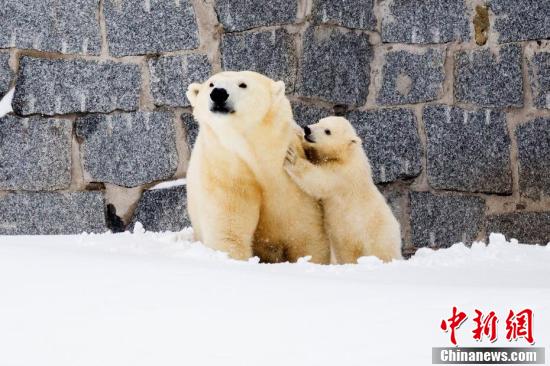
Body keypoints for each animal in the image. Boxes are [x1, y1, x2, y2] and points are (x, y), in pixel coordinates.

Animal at [185, 71, 332, 264]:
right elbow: (228, 231)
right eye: (211, 84)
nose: (218, 93)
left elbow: (305, 233)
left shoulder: (287, 182)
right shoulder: (225, 169)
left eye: (243, 84)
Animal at [286, 117, 404, 264]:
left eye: (328, 131)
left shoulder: (342, 174)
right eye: (319, 121)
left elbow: (320, 181)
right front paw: (297, 131)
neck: (347, 155)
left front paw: (292, 157)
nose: (307, 129)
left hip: (376, 236)